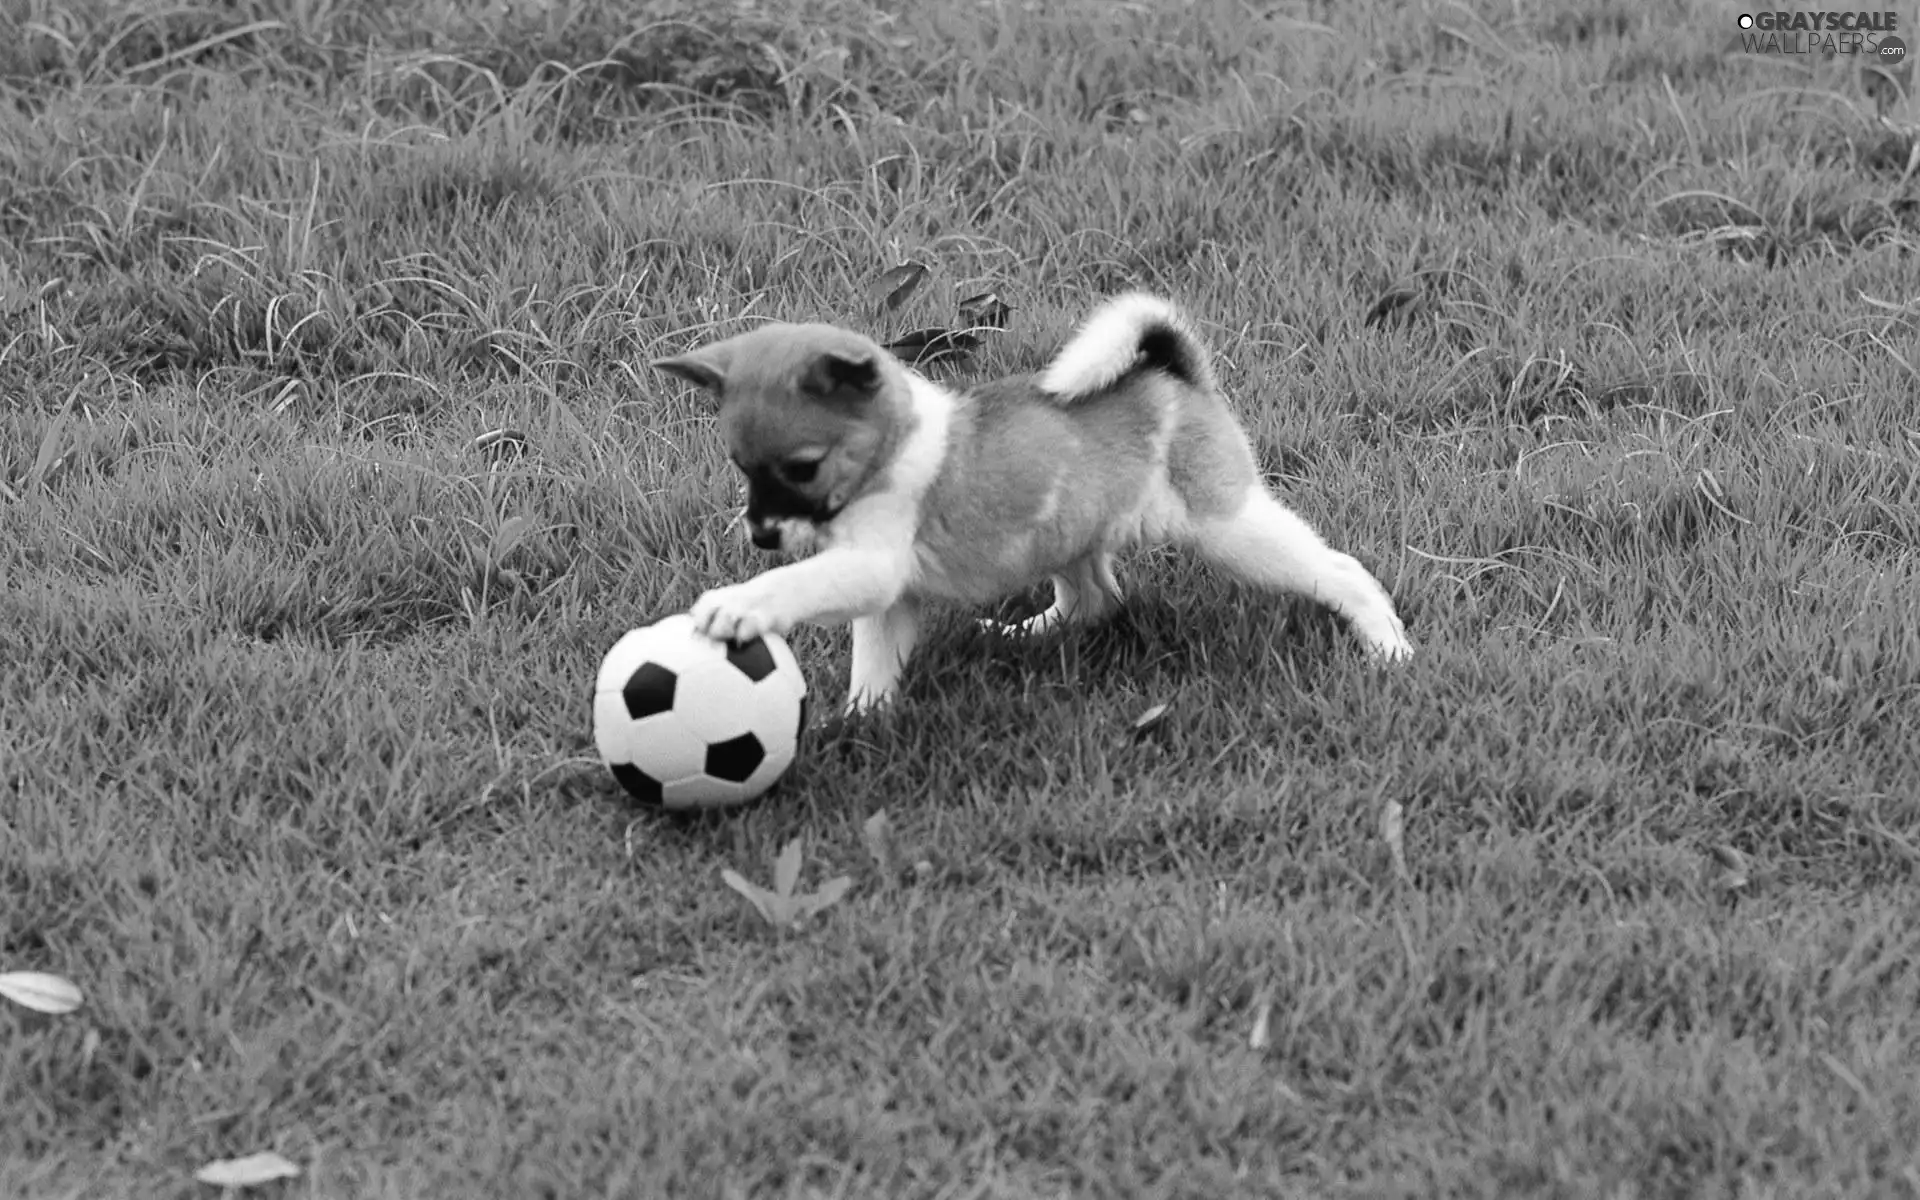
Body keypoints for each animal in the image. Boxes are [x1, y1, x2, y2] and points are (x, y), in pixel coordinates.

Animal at [652, 291, 1420, 710]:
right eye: (740, 466)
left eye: (803, 468)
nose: (761, 538)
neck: (894, 447)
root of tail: (1176, 374)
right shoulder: (886, 594)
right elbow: (873, 663)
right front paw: (863, 721)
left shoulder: (869, 567)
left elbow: (797, 585)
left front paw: (738, 606)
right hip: (1070, 534)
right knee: (1095, 599)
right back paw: (1021, 632)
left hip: (1229, 529)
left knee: (1339, 570)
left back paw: (1386, 643)